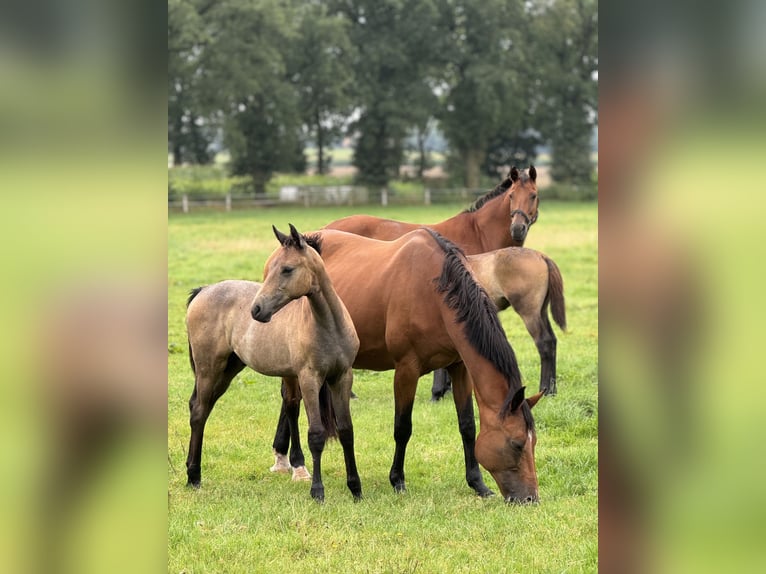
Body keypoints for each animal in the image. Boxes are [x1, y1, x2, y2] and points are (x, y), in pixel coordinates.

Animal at [188, 225, 364, 504]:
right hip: (209, 369)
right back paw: (194, 477)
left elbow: (346, 430)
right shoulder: (309, 378)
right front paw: (317, 491)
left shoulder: (342, 377)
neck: (329, 326)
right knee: (198, 412)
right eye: (270, 268)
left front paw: (355, 488)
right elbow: (316, 434)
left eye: (287, 269)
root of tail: (203, 291)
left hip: (227, 370)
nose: (257, 310)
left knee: (200, 409)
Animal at [264, 230, 544, 504]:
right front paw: (397, 480)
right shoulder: (406, 370)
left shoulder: (459, 367)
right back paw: (295, 463)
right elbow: (402, 428)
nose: (530, 498)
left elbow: (467, 426)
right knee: (291, 403)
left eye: (534, 442)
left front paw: (478, 483)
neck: (433, 290)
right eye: (517, 444)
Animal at [432, 248, 568, 400]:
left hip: (529, 314)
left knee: (544, 343)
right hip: (541, 312)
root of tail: (541, 256)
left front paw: (437, 393)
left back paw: (546, 390)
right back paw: (552, 390)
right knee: (552, 341)